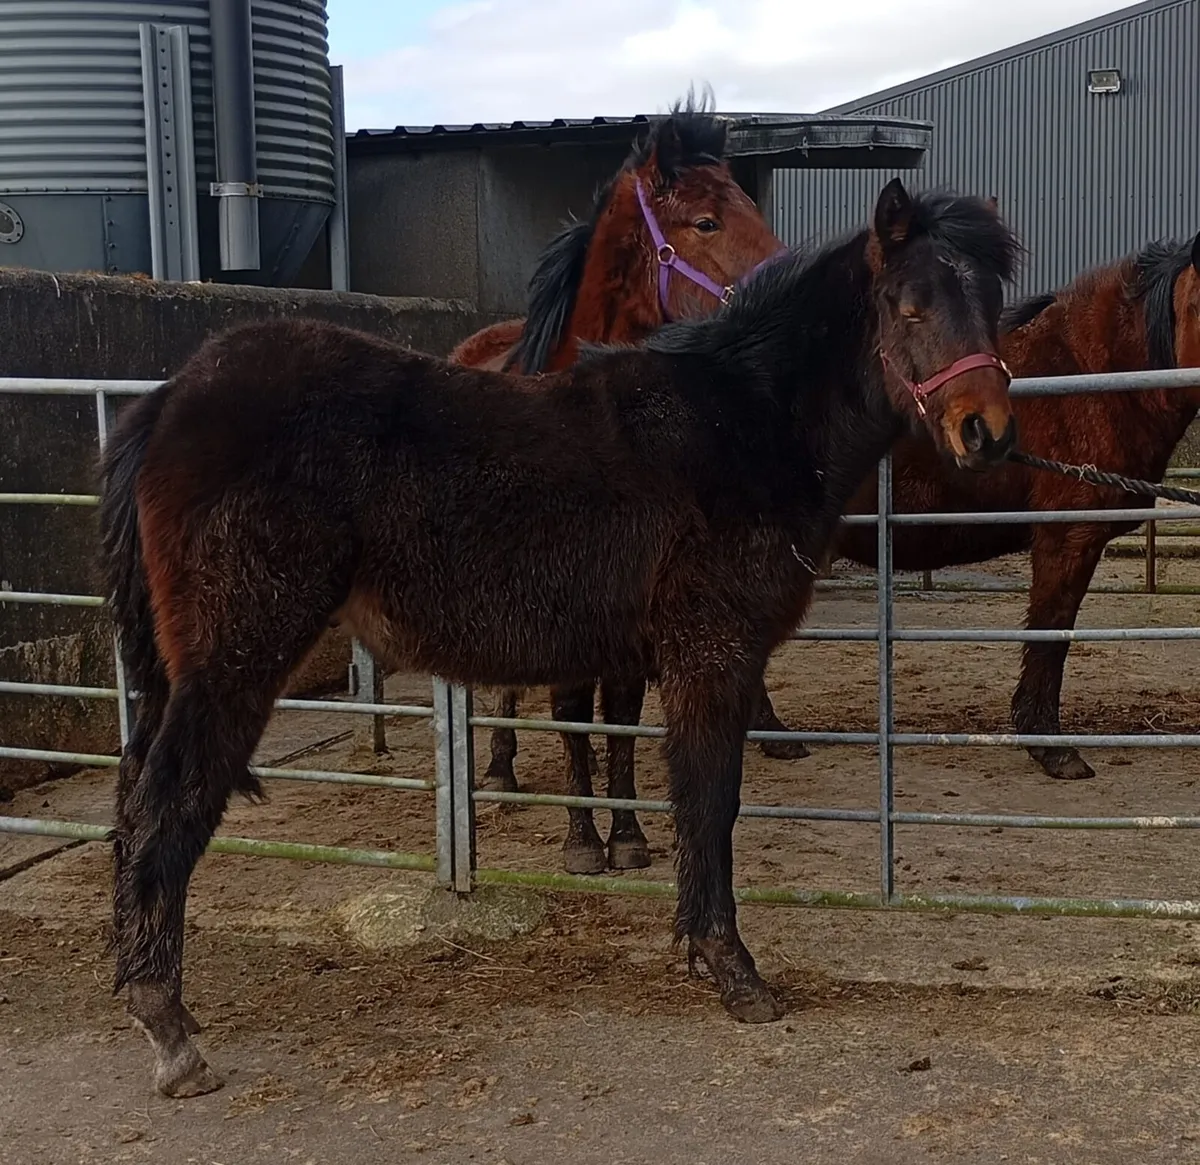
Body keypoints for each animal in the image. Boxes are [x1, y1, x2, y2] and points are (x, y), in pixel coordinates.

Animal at [97, 178, 1018, 1097]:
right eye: (908, 305)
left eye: (991, 303)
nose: (986, 430)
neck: (740, 422)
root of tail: (173, 396)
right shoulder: (711, 655)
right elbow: (709, 801)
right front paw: (729, 966)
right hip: (235, 653)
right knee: (169, 797)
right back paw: (167, 1025)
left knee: (135, 790)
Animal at [450, 96, 810, 884]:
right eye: (706, 222)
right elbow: (571, 710)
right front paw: (582, 839)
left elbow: (618, 712)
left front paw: (628, 834)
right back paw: (497, 768)